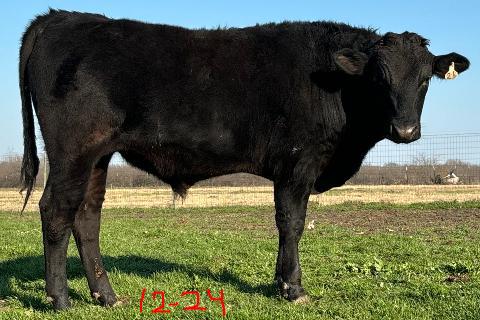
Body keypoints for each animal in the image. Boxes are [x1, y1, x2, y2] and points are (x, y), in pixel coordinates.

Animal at [18, 10, 468, 310]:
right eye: (379, 77)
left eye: (424, 79)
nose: (406, 130)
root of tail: (60, 17)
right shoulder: (298, 163)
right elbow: (292, 222)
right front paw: (293, 288)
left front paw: (280, 283)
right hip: (73, 150)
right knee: (56, 211)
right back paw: (60, 298)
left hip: (98, 156)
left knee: (86, 217)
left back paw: (107, 296)